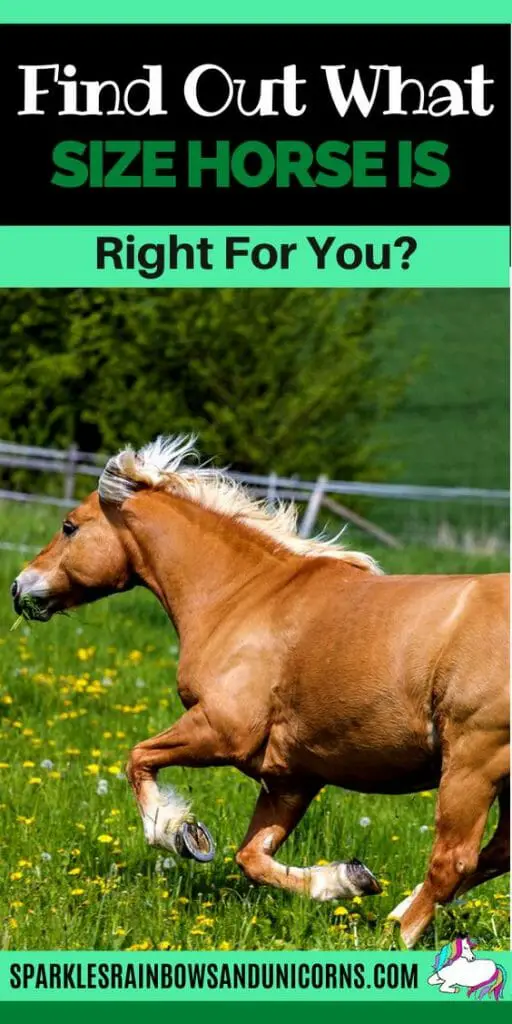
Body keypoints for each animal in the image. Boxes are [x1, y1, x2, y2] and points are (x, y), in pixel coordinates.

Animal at [11, 435, 510, 948]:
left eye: (69, 526)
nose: (18, 586)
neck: (244, 596)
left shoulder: (221, 732)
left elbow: (138, 760)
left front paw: (180, 833)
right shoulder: (291, 775)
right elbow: (251, 857)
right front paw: (346, 879)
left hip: (471, 766)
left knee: (454, 861)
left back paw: (395, 937)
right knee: (492, 856)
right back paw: (395, 910)